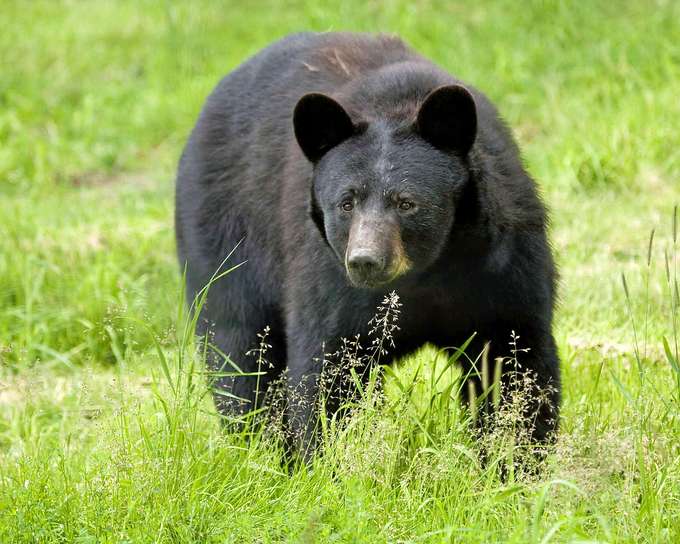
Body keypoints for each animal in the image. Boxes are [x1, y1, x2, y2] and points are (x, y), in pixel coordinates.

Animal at [175, 32, 560, 458]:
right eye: (346, 202)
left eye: (407, 202)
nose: (366, 260)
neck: (427, 273)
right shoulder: (329, 278)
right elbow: (326, 371)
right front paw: (324, 461)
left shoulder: (502, 265)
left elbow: (515, 360)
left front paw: (514, 459)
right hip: (226, 238)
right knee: (239, 352)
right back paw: (262, 449)